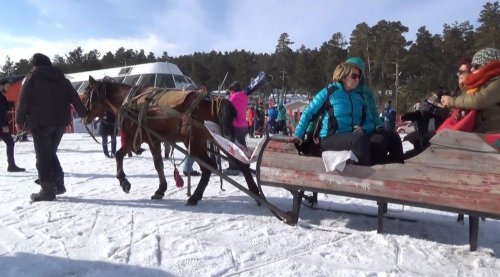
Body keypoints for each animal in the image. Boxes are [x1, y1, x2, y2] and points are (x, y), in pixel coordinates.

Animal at [80, 75, 260, 205]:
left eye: (88, 95)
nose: (84, 115)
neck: (129, 101)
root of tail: (215, 100)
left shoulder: (144, 138)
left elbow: (152, 163)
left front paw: (127, 182)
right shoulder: (144, 139)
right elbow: (126, 156)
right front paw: (155, 188)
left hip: (195, 143)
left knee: (209, 167)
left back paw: (194, 197)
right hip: (218, 140)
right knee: (240, 162)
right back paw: (255, 192)